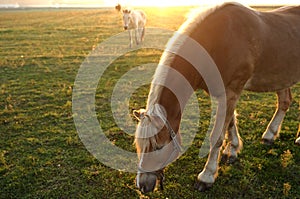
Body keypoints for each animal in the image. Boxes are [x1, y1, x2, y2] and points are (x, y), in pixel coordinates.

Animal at [134, 2, 300, 193]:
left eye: (158, 146)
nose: (142, 185)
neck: (219, 40)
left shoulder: (231, 92)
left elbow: (217, 136)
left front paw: (206, 176)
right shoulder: (225, 94)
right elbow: (231, 123)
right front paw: (233, 150)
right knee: (284, 102)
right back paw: (270, 135)